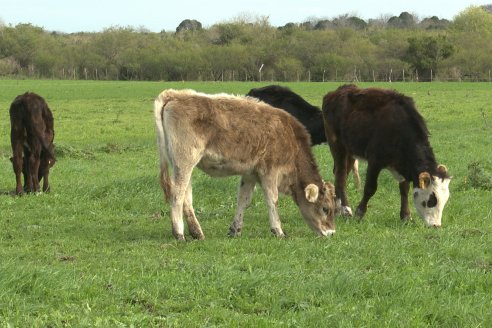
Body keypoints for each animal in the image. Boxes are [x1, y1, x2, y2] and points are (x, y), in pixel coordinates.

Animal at [155, 88, 338, 240]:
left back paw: (197, 233)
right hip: (184, 162)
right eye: (326, 209)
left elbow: (244, 200)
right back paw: (179, 233)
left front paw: (235, 230)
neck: (289, 137)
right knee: (177, 195)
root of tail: (175, 95)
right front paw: (278, 230)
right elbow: (272, 200)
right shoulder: (269, 172)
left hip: (183, 166)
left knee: (186, 196)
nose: (331, 232)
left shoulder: (250, 173)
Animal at [320, 84, 452, 227]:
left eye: (445, 200)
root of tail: (336, 92)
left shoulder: (404, 164)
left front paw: (406, 216)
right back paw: (345, 209)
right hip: (337, 146)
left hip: (350, 150)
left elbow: (404, 189)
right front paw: (359, 213)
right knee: (341, 175)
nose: (436, 225)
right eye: (431, 201)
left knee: (342, 175)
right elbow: (370, 188)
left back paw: (337, 209)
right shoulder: (375, 161)